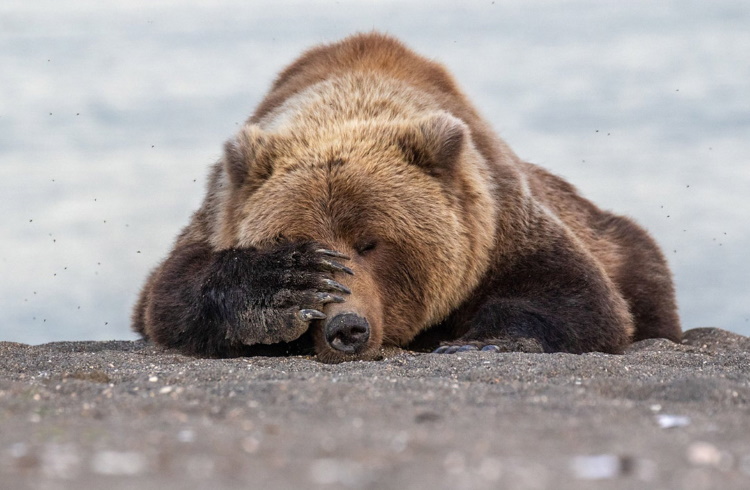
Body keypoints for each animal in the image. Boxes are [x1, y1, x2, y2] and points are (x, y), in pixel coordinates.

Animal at [132, 29, 684, 360]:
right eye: (298, 240)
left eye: (371, 242)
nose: (346, 329)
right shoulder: (219, 212)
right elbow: (170, 293)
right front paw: (282, 287)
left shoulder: (498, 223)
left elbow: (576, 295)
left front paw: (481, 342)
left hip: (617, 240)